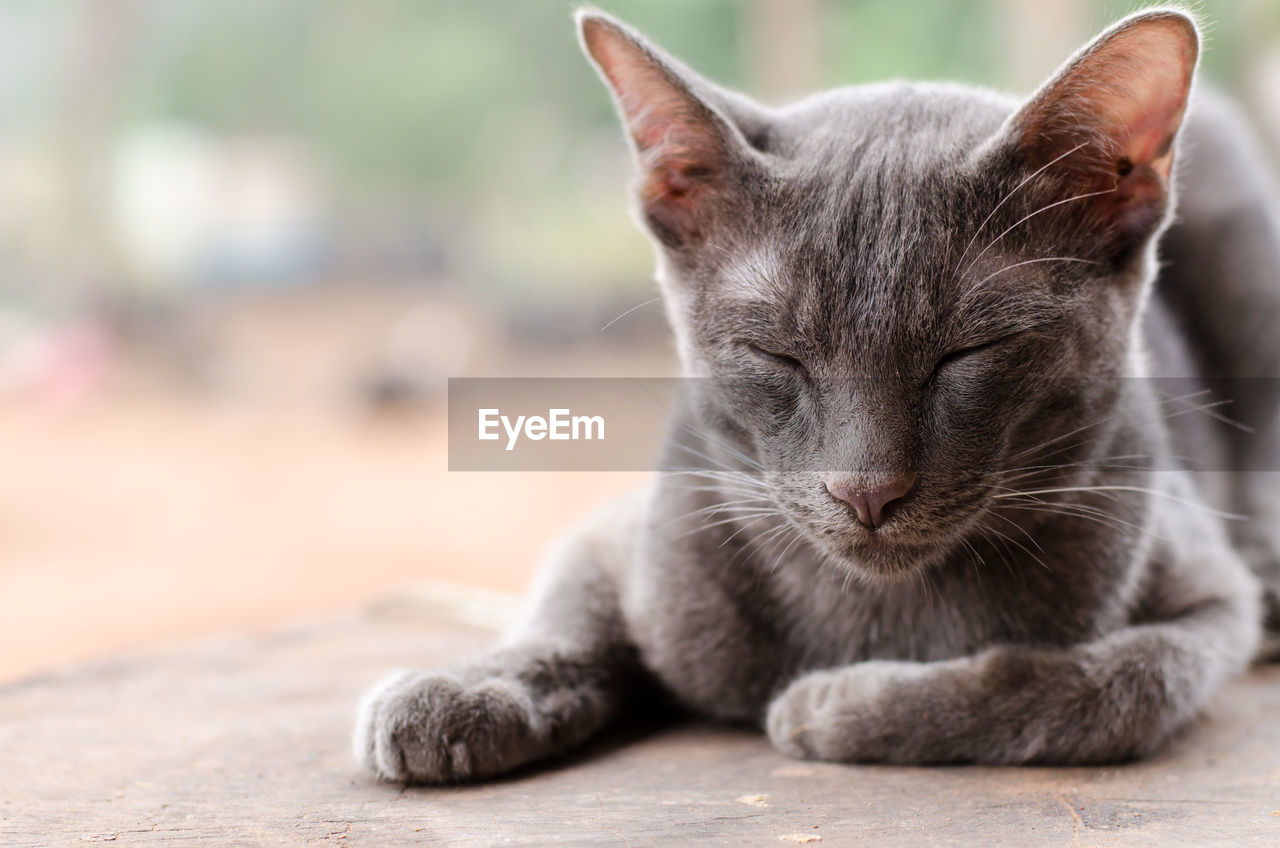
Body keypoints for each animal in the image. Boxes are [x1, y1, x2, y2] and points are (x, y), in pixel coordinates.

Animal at [353, 4, 1280, 783]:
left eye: (969, 352)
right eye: (776, 354)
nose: (865, 489)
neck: (879, 608)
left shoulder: (1202, 598)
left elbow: (1108, 686)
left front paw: (835, 705)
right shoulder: (627, 530)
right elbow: (563, 610)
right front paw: (463, 691)